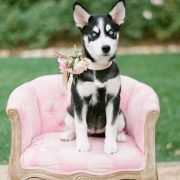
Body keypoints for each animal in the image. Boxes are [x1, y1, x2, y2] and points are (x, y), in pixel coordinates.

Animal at [60, 0, 126, 155]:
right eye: (93, 34)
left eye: (111, 33)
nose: (106, 47)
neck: (99, 68)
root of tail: (95, 132)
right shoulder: (80, 100)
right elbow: (80, 124)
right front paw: (83, 145)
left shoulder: (114, 98)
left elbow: (111, 125)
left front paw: (110, 146)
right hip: (69, 113)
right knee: (74, 127)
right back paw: (69, 134)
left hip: (121, 114)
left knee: (118, 126)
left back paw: (120, 136)